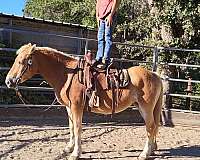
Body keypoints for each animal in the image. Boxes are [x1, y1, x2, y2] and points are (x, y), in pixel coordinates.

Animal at [5, 43, 162, 160]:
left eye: (22, 61)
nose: (8, 81)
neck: (68, 74)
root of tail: (155, 75)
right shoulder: (69, 108)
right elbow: (71, 127)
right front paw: (69, 148)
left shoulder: (76, 107)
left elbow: (77, 128)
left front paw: (76, 153)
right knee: (154, 127)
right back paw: (152, 150)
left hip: (145, 108)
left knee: (150, 127)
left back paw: (144, 154)